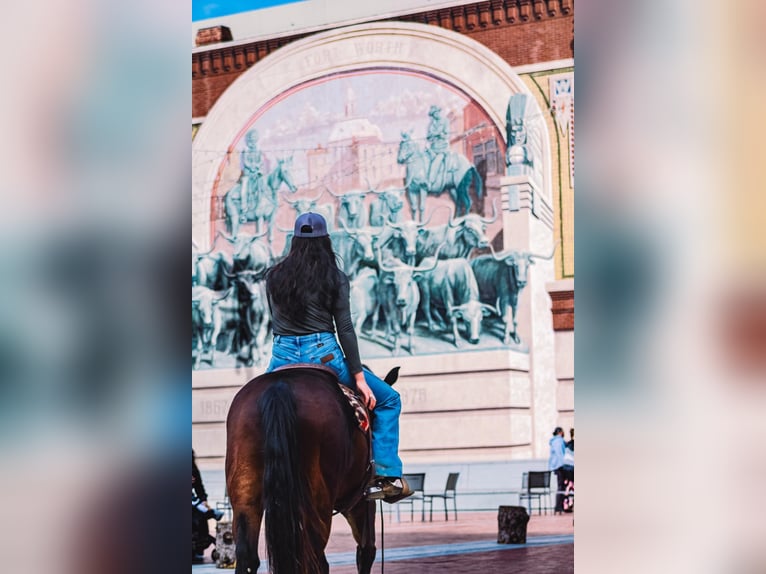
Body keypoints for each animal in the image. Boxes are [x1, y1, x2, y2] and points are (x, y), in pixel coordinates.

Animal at [226, 366, 384, 572]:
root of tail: (279, 386)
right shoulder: (362, 500)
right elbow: (366, 551)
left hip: (245, 492)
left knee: (247, 555)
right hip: (319, 499)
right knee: (316, 558)